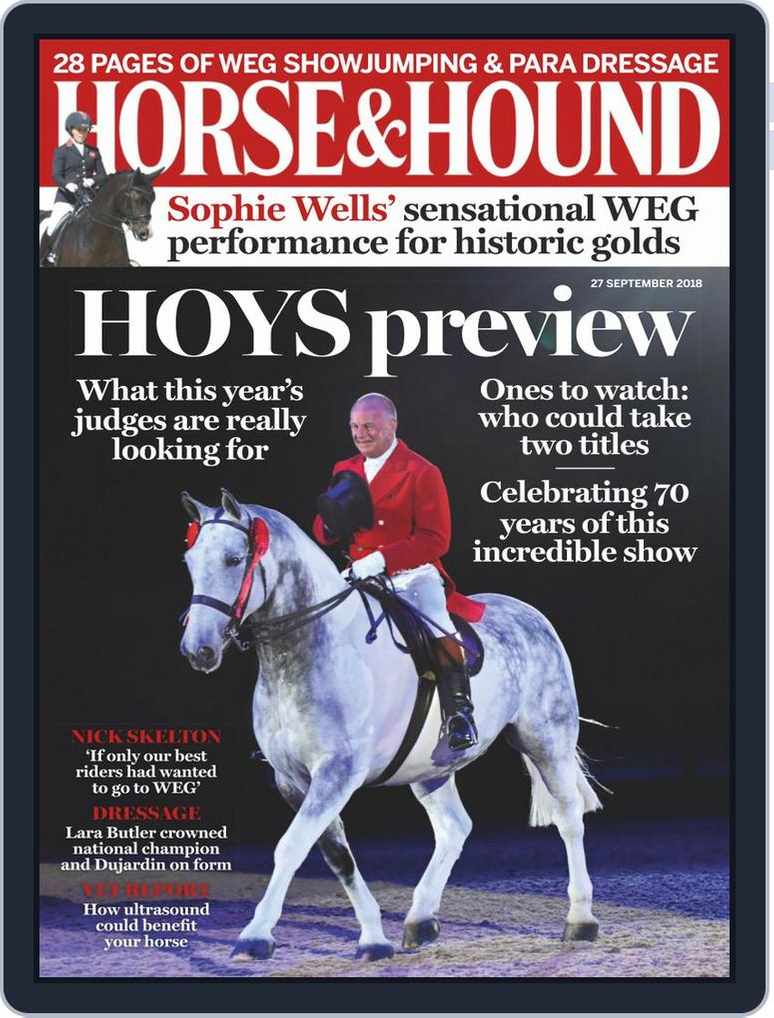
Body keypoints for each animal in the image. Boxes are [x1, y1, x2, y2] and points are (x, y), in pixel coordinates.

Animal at [179, 489, 602, 962]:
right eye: (190, 560)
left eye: (234, 559)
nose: (198, 650)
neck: (307, 649)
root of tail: (529, 614)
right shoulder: (292, 780)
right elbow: (337, 856)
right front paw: (373, 937)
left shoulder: (338, 772)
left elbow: (290, 847)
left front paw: (255, 935)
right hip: (432, 767)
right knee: (454, 828)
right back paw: (421, 920)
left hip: (546, 738)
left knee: (568, 816)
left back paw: (580, 919)